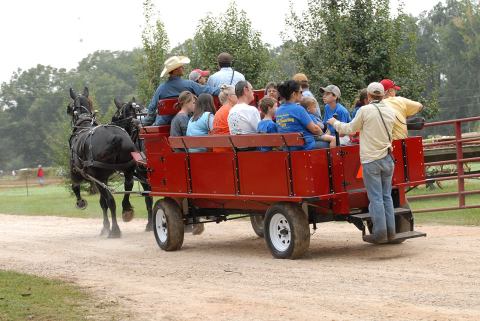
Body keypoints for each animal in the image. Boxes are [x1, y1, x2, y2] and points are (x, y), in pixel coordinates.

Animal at [67, 87, 137, 238]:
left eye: (69, 107)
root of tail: (115, 137)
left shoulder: (77, 172)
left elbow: (76, 187)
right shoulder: (99, 179)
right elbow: (101, 201)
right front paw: (105, 227)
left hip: (99, 176)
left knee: (110, 201)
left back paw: (115, 230)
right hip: (128, 170)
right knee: (128, 187)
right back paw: (126, 210)